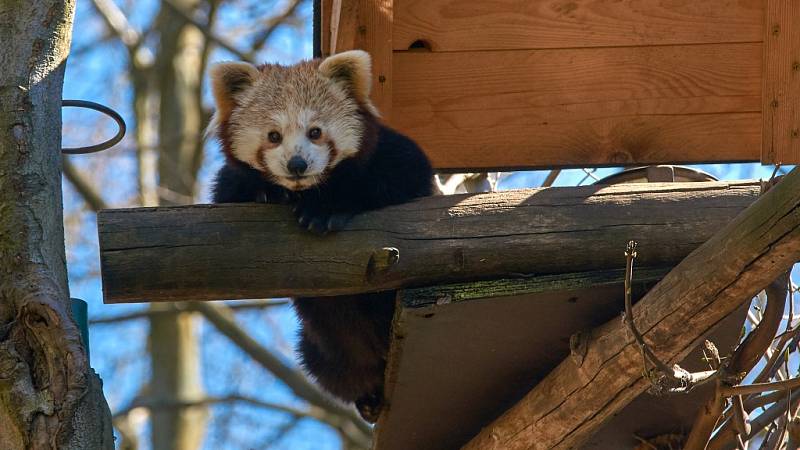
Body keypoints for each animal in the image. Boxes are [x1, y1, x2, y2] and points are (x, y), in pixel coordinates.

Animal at [206, 51, 432, 424]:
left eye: (315, 132)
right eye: (273, 136)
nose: (297, 164)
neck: (303, 190)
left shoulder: (397, 159)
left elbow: (390, 181)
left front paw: (325, 208)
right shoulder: (226, 189)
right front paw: (267, 193)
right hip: (327, 348)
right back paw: (367, 397)